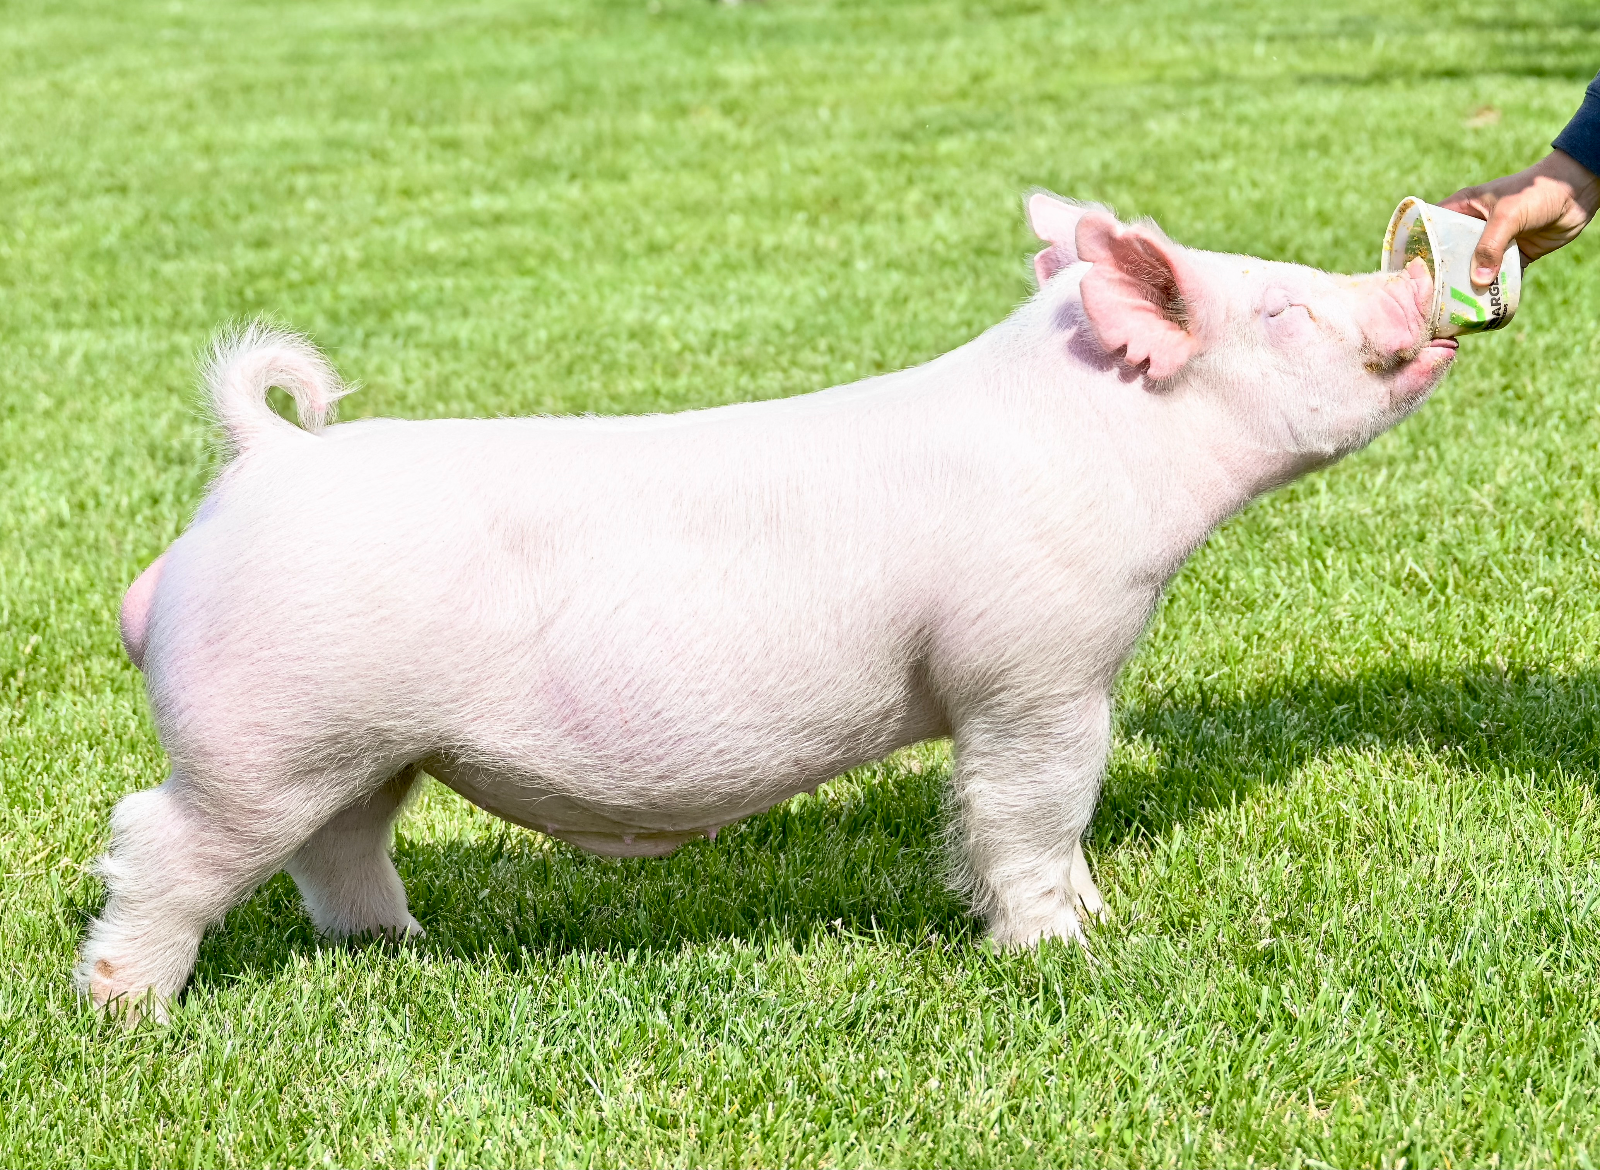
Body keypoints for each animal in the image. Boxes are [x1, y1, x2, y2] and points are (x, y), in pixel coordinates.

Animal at [79, 193, 1455, 1019]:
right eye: (1282, 306)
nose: (1414, 292)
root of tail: (266, 462)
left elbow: (1061, 825)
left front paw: (1101, 917)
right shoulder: (1031, 667)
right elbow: (1029, 810)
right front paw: (1059, 955)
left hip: (364, 744)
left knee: (337, 847)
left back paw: (400, 950)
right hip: (264, 735)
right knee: (161, 838)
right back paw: (124, 1010)